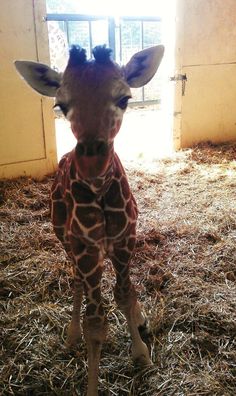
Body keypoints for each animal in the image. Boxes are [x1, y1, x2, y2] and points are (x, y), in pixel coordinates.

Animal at [15, 44, 164, 394]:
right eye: (61, 104)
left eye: (124, 98)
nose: (91, 162)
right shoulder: (85, 248)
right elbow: (95, 323)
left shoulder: (125, 240)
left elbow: (125, 294)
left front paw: (141, 354)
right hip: (65, 238)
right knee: (76, 281)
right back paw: (71, 335)